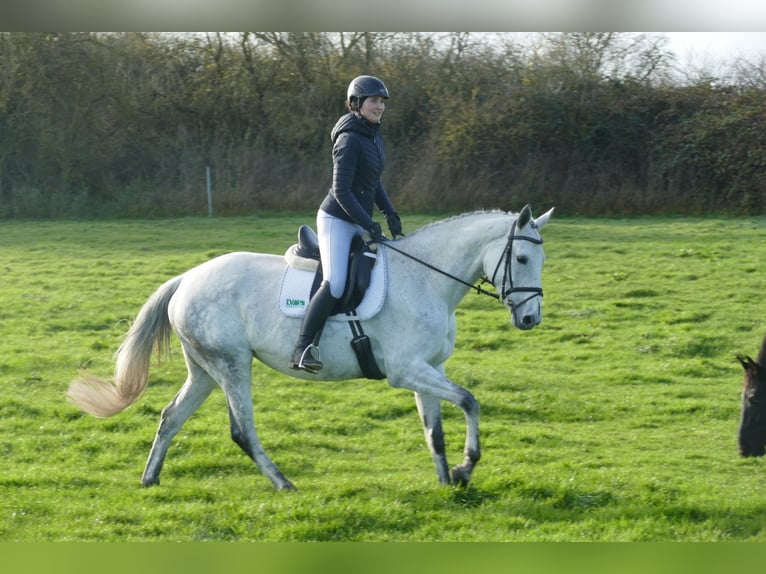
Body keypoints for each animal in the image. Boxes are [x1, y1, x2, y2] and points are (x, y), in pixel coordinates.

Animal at [69, 205, 556, 492]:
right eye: (522, 259)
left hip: (205, 370)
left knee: (171, 418)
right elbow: (470, 401)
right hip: (232, 365)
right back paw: (284, 483)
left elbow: (434, 430)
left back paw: (149, 480)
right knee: (242, 430)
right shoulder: (406, 370)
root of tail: (187, 277)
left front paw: (445, 481)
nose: (530, 320)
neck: (426, 278)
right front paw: (466, 467)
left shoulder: (427, 368)